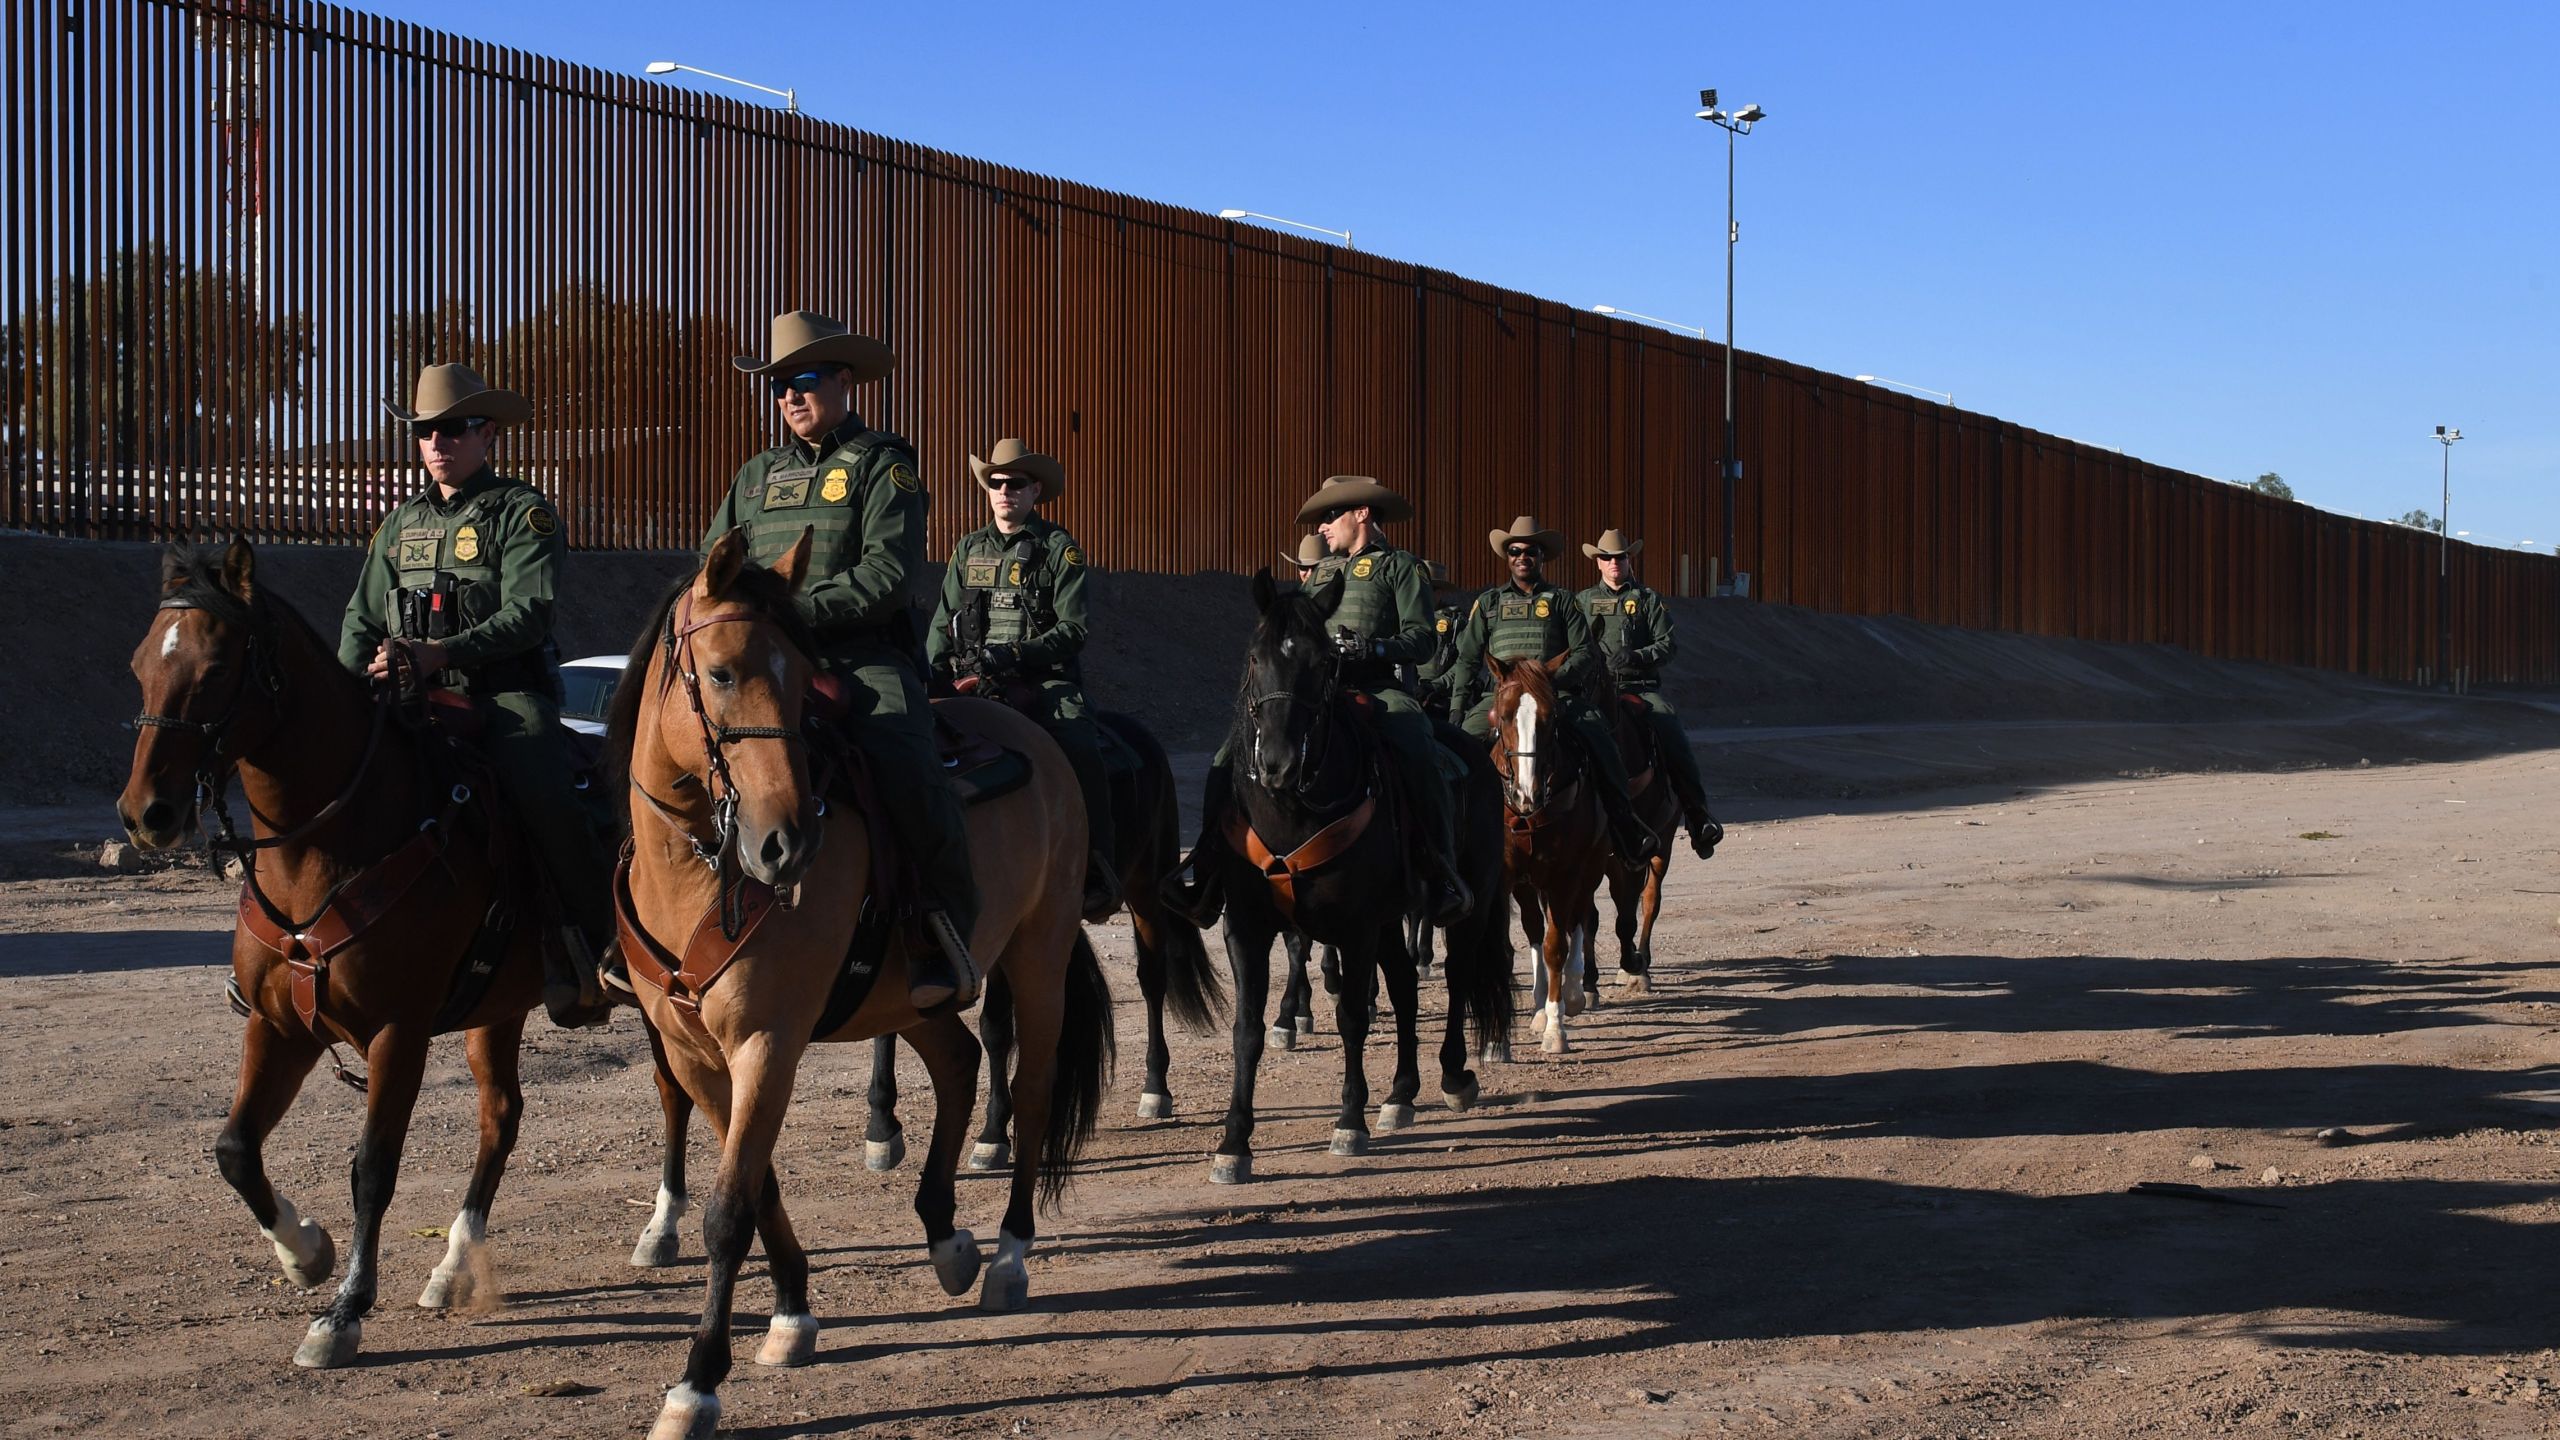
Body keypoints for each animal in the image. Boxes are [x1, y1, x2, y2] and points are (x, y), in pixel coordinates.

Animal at [119, 540, 560, 1363]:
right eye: (140, 665)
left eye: (216, 668)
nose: (145, 814)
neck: (330, 843)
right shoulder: (279, 1025)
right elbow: (234, 1148)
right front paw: (305, 1254)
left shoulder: (398, 1034)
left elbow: (373, 1169)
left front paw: (346, 1309)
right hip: (501, 1011)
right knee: (502, 1116)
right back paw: (455, 1266)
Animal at [616, 530, 1111, 1434]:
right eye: (723, 672)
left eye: (796, 675)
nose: (785, 844)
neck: (698, 874)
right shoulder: (697, 1055)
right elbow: (758, 1183)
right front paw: (790, 1314)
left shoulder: (768, 1043)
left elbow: (729, 1209)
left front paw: (697, 1382)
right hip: (907, 993)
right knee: (957, 1061)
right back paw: (946, 1237)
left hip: (1039, 954)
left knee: (1028, 1092)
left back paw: (1008, 1255)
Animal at [1208, 563, 1505, 1178]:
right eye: (1255, 657)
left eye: (1324, 662)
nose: (1277, 763)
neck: (1290, 813)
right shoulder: (1246, 926)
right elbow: (1246, 1028)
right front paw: (1234, 1142)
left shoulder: (1357, 925)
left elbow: (1351, 1014)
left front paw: (1349, 1121)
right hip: (1393, 920)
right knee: (1406, 986)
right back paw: (1400, 1093)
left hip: (1469, 904)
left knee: (1457, 975)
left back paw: (1452, 1075)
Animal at [1474, 655, 1607, 1050]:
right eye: (1503, 716)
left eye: (1550, 718)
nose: (1525, 793)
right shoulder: (1504, 878)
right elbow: (1507, 948)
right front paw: (1497, 1041)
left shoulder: (1566, 875)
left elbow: (1556, 946)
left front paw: (1555, 1028)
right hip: (1528, 883)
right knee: (1535, 925)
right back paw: (1537, 1005)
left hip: (1589, 868)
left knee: (1581, 918)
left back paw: (1574, 993)